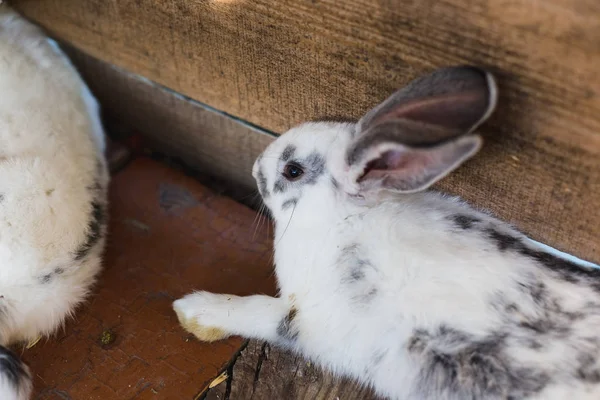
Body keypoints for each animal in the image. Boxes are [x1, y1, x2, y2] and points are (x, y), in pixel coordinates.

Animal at [173, 64, 600, 398]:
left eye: (292, 170)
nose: (254, 168)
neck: (342, 221)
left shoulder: (311, 319)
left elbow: (259, 313)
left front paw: (193, 312)